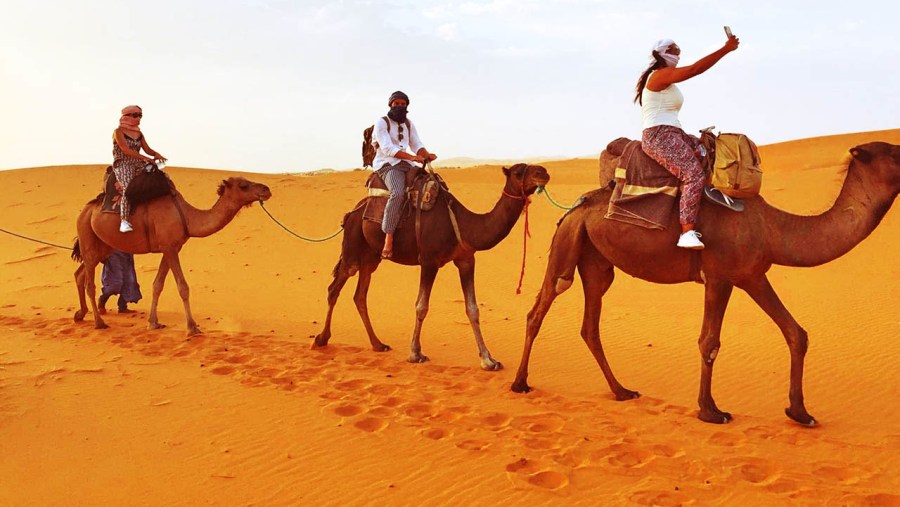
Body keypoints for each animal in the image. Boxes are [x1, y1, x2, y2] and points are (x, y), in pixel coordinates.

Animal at [71, 177, 270, 336]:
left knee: (80, 274)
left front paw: (153, 323)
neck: (186, 216)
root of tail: (86, 209)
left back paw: (80, 314)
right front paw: (192, 327)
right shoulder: (169, 248)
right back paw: (99, 322)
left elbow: (157, 285)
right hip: (87, 234)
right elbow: (183, 287)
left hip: (103, 245)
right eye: (244, 186)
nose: (266, 189)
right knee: (90, 283)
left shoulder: (171, 248)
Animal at [316, 165, 556, 372]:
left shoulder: (466, 260)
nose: (543, 172)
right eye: (518, 172)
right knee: (335, 287)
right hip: (353, 248)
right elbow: (421, 306)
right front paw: (415, 353)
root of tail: (351, 213)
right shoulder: (429, 261)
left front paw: (488, 360)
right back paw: (322, 338)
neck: (463, 224)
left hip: (371, 258)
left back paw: (378, 344)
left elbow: (473, 309)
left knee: (360, 295)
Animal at [512, 142, 900, 424]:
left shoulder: (752, 275)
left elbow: (796, 333)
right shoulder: (720, 276)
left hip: (596, 262)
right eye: (895, 152)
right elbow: (709, 341)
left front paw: (800, 412)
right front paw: (711, 410)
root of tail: (575, 207)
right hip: (567, 243)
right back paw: (520, 383)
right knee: (540, 307)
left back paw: (621, 391)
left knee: (590, 325)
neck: (774, 229)